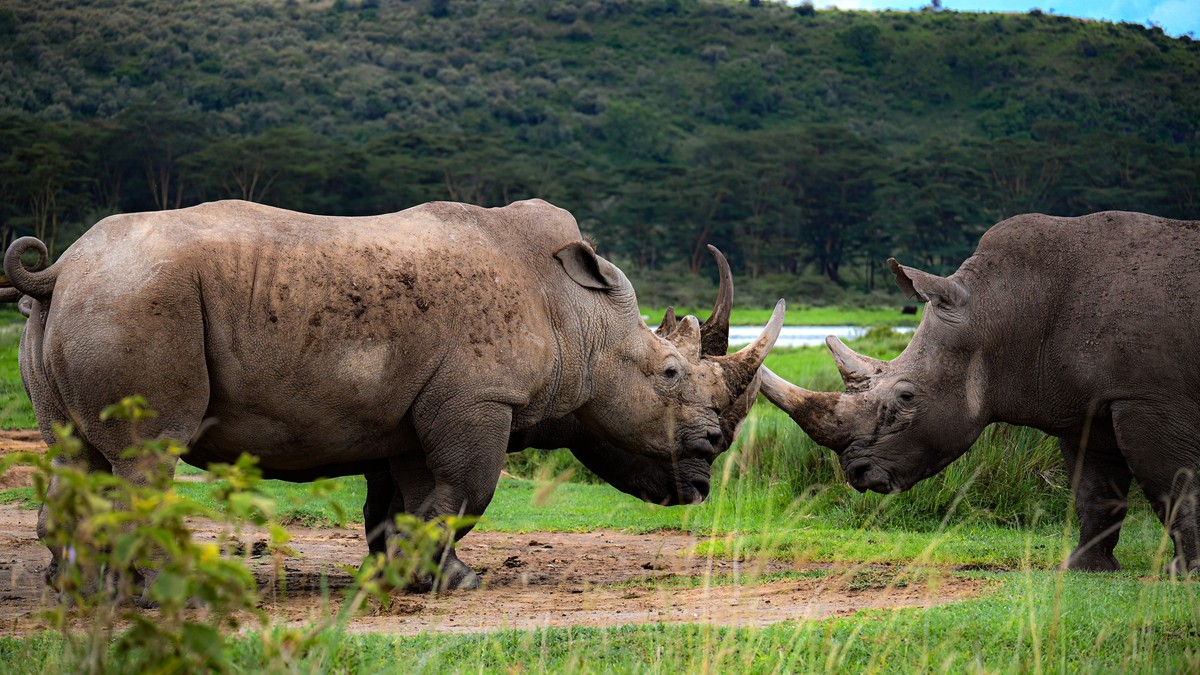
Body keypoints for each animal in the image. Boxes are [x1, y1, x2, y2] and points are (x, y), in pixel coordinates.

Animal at [3, 198, 784, 591]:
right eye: (670, 374)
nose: (710, 454)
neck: (578, 313)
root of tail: (60, 267)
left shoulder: (406, 411)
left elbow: (404, 500)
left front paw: (413, 576)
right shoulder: (481, 399)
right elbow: (468, 491)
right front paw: (444, 578)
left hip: (87, 301)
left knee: (73, 452)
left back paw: (85, 592)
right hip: (137, 297)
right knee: (148, 454)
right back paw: (160, 588)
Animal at [760, 211, 1200, 574]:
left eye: (906, 398)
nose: (858, 474)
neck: (1006, 307)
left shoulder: (1149, 398)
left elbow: (1173, 481)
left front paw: (1187, 573)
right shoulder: (1088, 404)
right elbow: (1094, 489)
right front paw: (1086, 568)